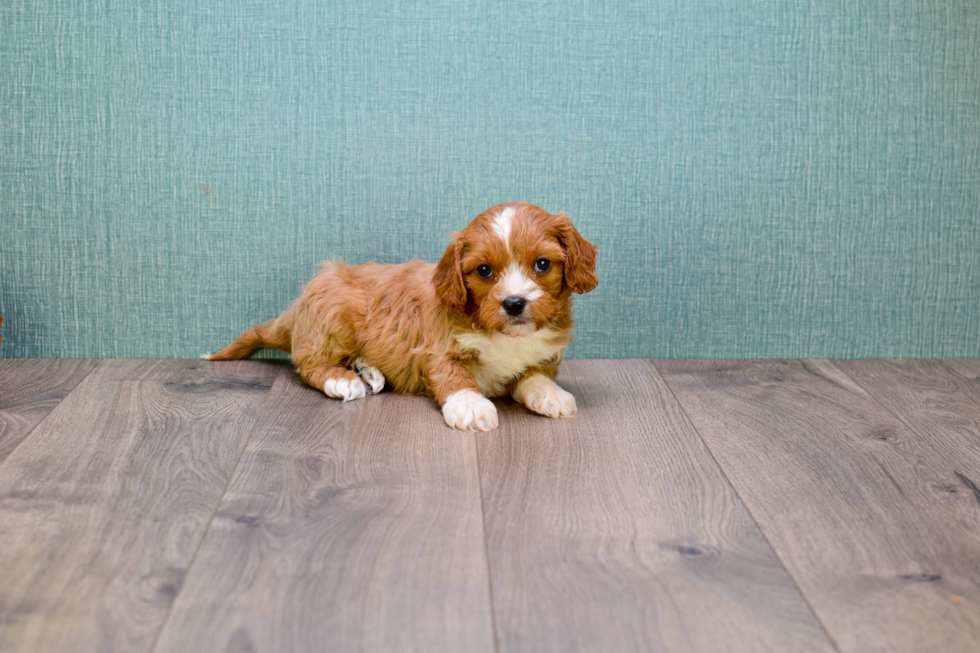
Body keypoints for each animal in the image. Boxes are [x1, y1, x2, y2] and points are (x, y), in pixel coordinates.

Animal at [205, 201, 596, 430]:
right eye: (484, 271)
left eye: (542, 264)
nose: (514, 303)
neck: (503, 334)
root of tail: (297, 307)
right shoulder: (439, 350)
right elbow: (455, 376)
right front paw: (471, 405)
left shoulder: (541, 354)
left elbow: (534, 374)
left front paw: (550, 394)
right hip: (334, 317)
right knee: (307, 364)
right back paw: (343, 379)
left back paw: (369, 371)